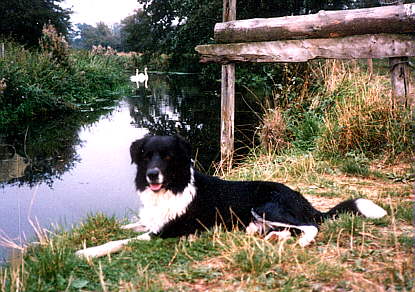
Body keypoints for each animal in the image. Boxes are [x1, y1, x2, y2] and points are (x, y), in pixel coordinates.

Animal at [76, 135, 388, 258]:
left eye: (167, 157)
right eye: (146, 155)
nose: (152, 175)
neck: (172, 188)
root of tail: (305, 201)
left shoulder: (167, 233)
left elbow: (120, 241)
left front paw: (87, 251)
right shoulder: (153, 222)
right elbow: (129, 226)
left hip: (268, 206)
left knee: (311, 226)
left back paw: (301, 242)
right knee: (289, 229)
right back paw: (272, 237)